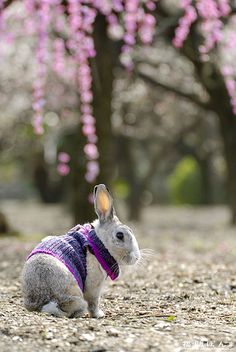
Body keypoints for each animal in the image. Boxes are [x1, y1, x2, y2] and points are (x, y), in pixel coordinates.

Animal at [21, 184, 140, 320]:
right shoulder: (94, 286)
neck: (99, 242)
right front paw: (99, 314)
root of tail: (43, 302)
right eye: (120, 235)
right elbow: (94, 302)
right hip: (76, 296)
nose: (136, 257)